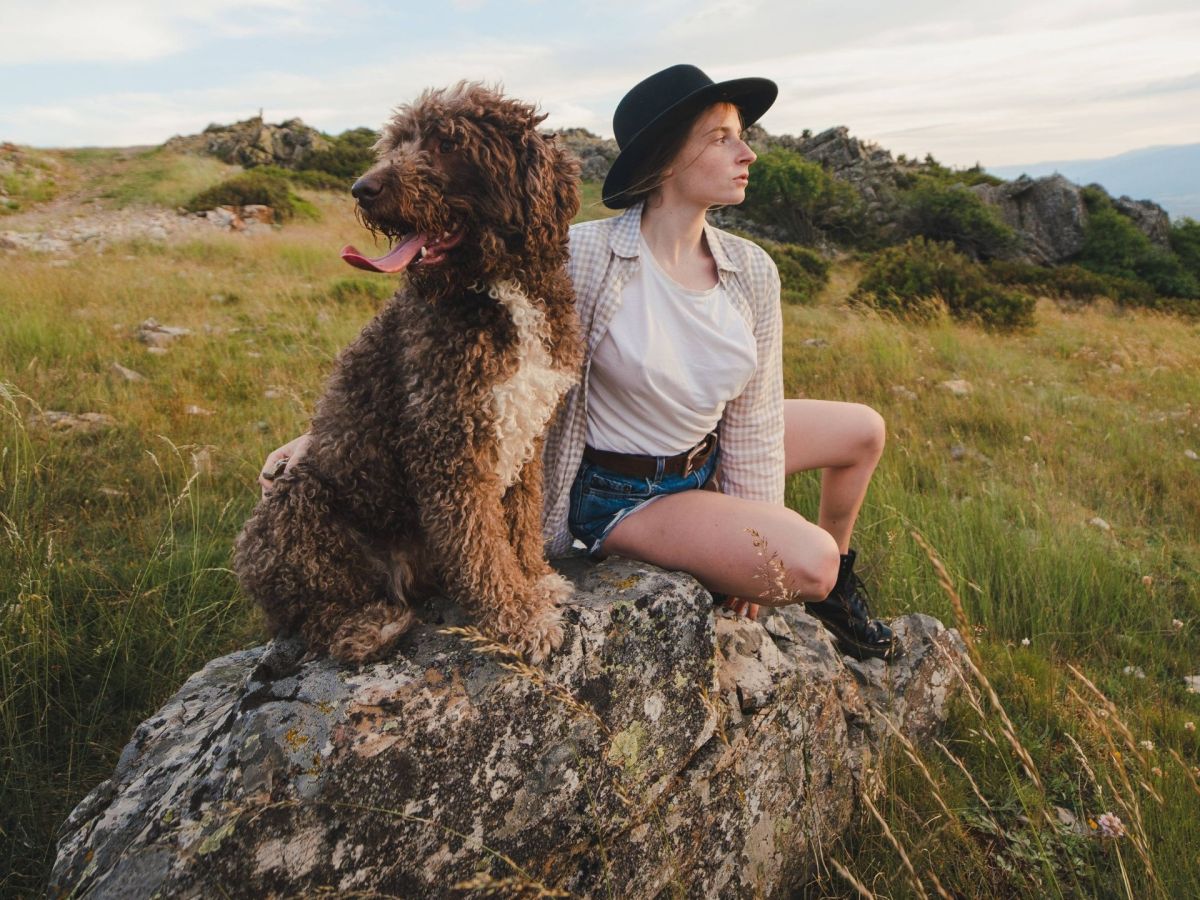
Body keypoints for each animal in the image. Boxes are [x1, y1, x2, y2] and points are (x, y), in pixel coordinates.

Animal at [232, 82, 580, 662]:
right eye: (396, 143)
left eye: (447, 143)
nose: (362, 188)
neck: (495, 287)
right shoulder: (449, 446)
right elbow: (484, 551)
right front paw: (519, 618)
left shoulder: (526, 439)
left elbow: (519, 525)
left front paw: (536, 579)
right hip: (292, 505)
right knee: (309, 615)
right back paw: (365, 626)